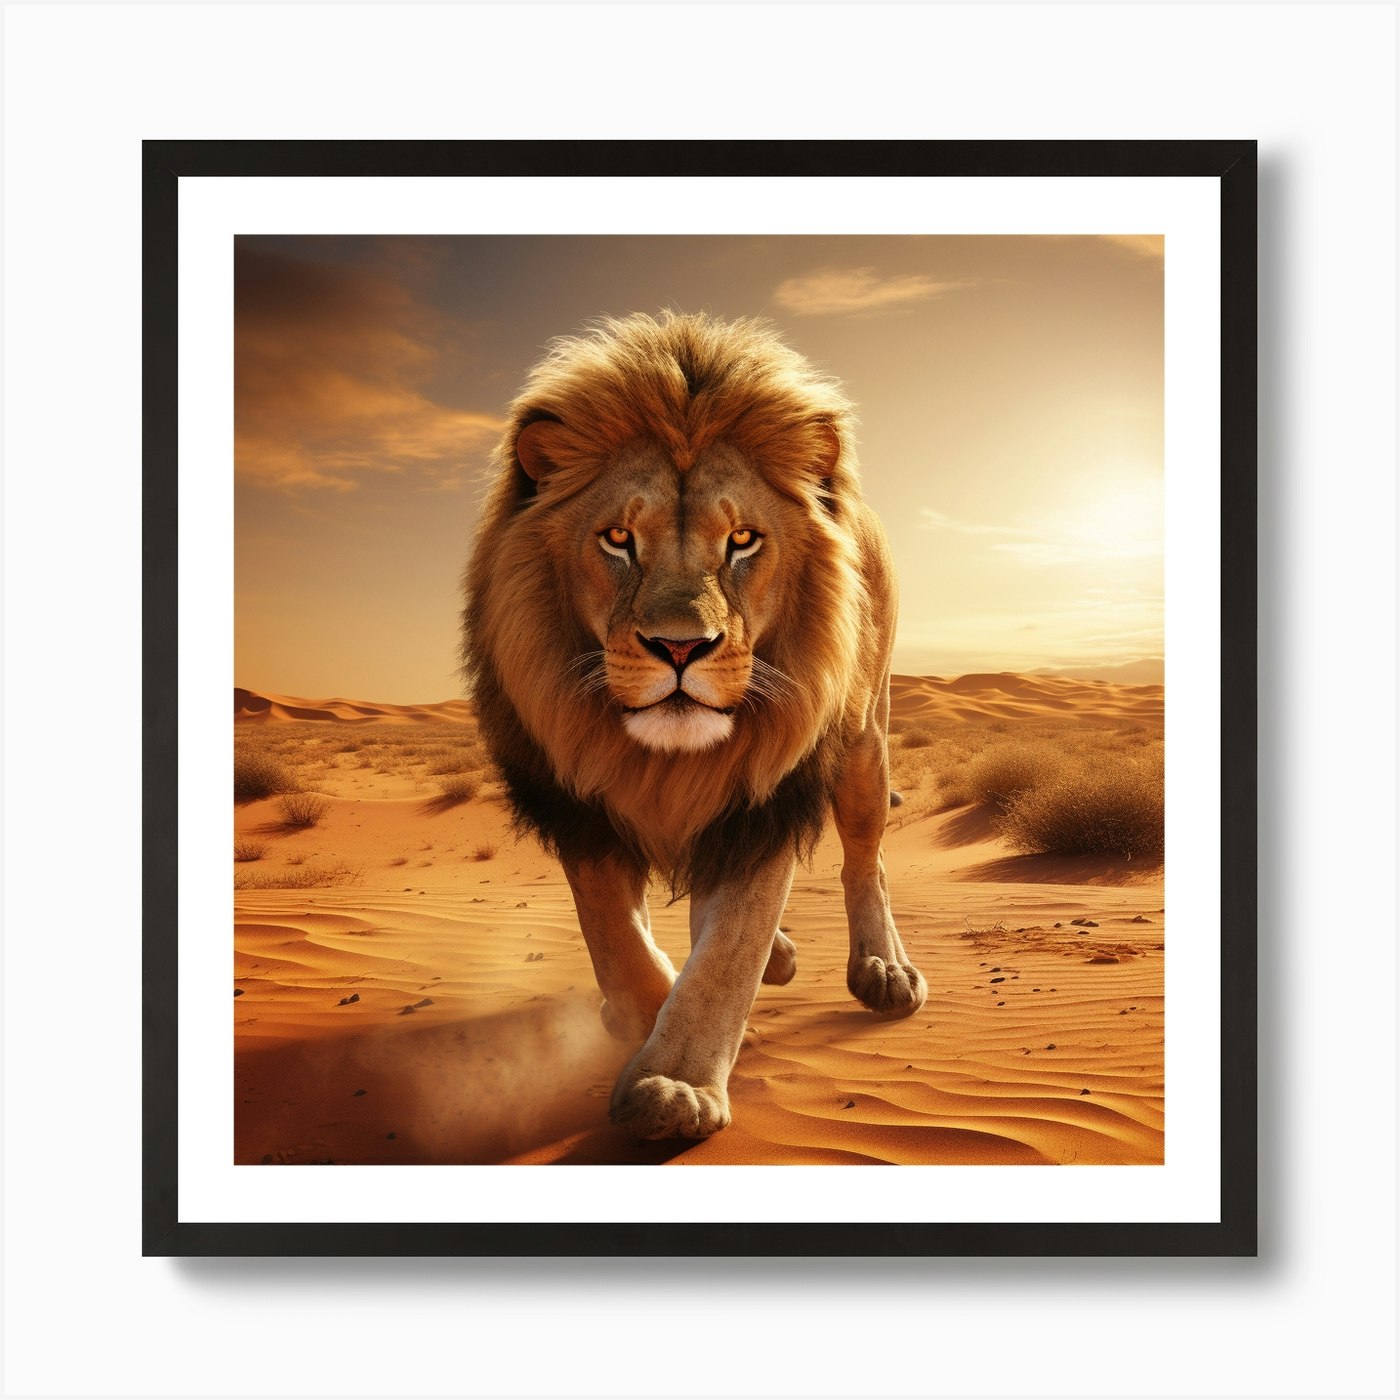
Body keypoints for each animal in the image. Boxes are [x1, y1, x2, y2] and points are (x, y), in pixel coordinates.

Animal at [460, 311, 926, 1141]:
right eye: (617, 539)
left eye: (742, 540)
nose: (680, 648)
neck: (665, 765)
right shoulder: (576, 799)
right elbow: (617, 938)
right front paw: (639, 1018)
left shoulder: (763, 799)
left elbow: (727, 951)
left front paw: (674, 1085)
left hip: (866, 739)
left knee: (864, 859)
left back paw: (884, 970)